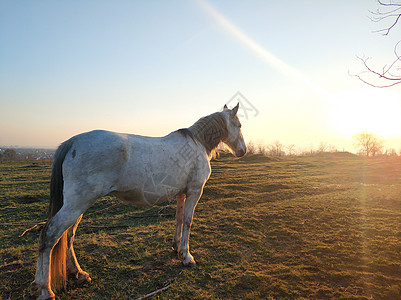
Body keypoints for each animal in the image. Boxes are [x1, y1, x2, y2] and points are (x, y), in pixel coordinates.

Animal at [30, 102, 244, 298]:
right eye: (240, 125)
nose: (243, 150)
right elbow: (187, 222)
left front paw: (176, 248)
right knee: (50, 235)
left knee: (68, 235)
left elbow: (178, 220)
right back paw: (45, 289)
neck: (197, 143)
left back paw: (79, 274)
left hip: (78, 206)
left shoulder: (181, 193)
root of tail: (72, 142)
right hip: (76, 205)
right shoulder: (194, 191)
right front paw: (186, 257)